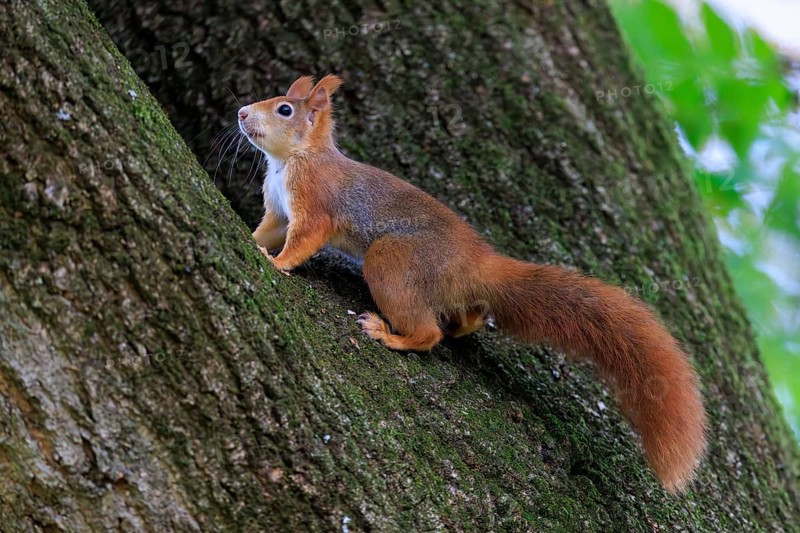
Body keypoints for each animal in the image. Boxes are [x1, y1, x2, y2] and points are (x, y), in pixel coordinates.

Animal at [237, 74, 707, 493]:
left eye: (284, 109)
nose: (241, 112)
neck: (291, 160)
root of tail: (475, 265)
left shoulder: (315, 203)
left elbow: (302, 242)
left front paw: (275, 263)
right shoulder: (279, 209)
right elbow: (271, 229)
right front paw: (254, 241)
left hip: (393, 261)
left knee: (428, 333)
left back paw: (391, 336)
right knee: (465, 316)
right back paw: (465, 323)